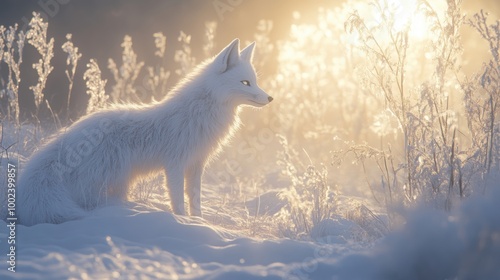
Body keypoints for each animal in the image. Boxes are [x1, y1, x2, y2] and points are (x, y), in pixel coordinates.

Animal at [16, 38, 274, 225]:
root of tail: (70, 137)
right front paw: (182, 221)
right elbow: (178, 199)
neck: (202, 110)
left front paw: (199, 222)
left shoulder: (196, 163)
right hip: (113, 177)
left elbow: (195, 199)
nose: (270, 98)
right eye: (245, 83)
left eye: (254, 81)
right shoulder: (174, 164)